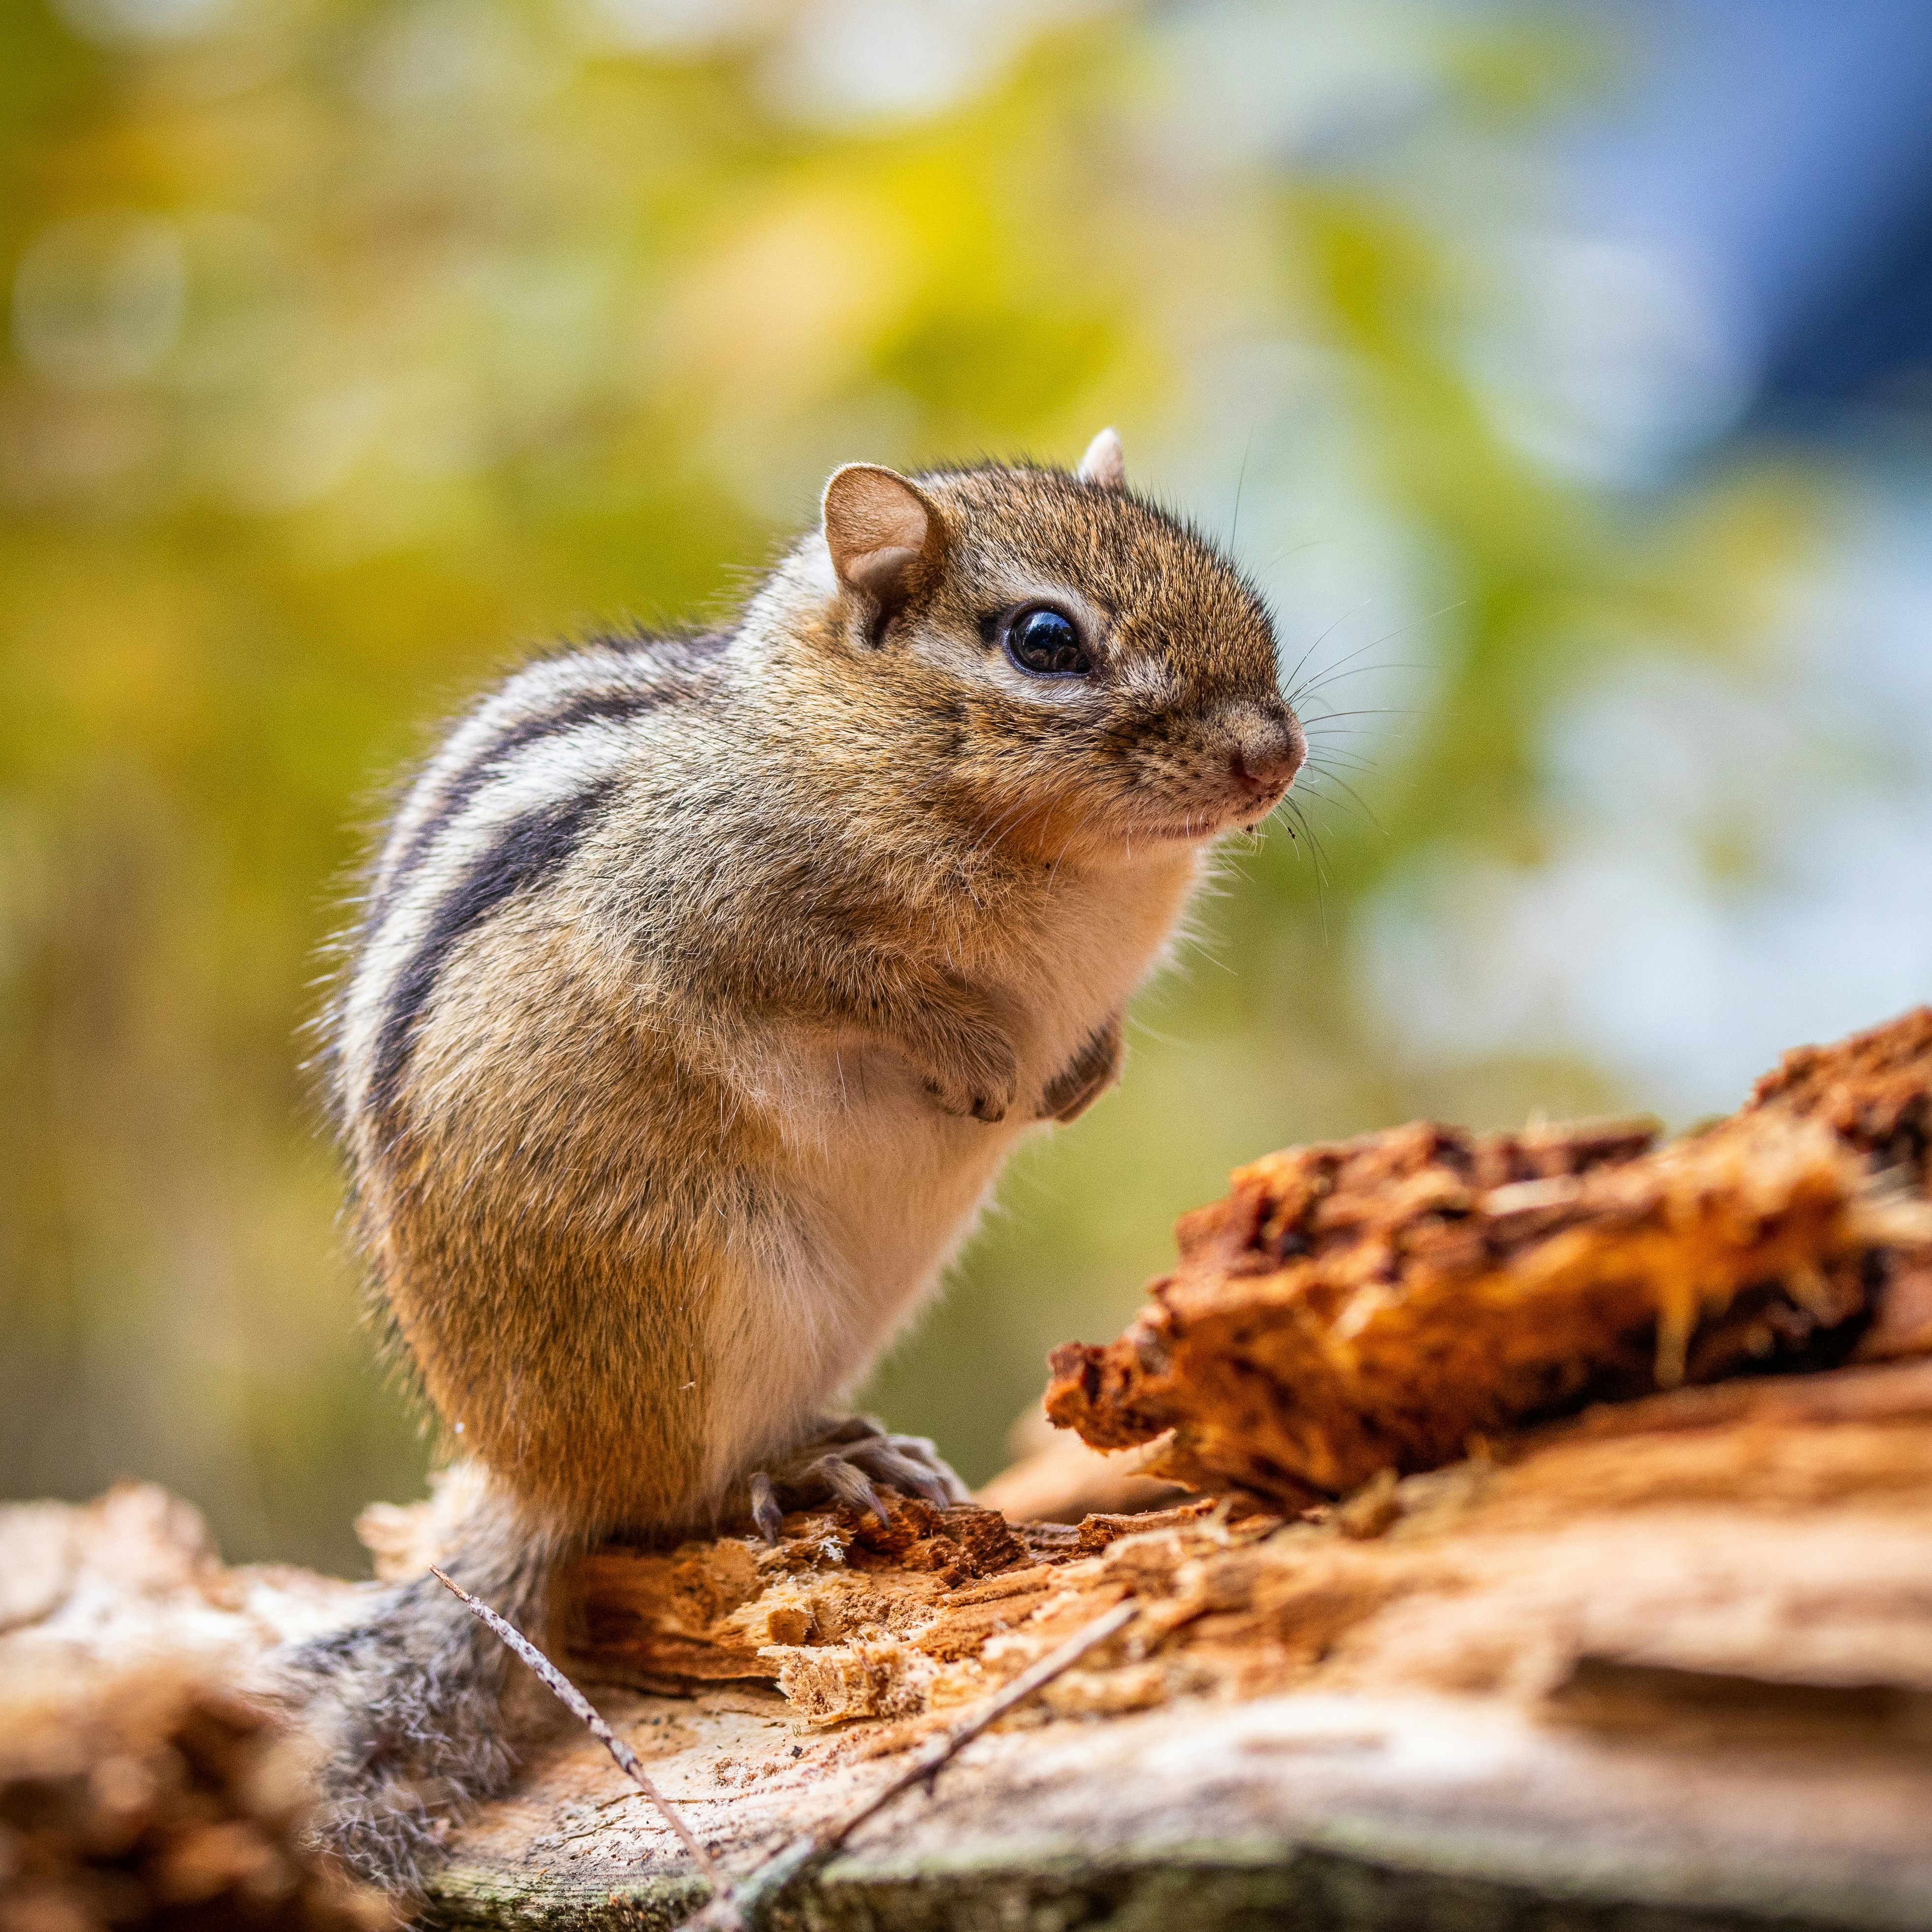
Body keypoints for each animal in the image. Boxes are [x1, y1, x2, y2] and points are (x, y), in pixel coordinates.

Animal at [278, 429, 1304, 1889]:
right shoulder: (709, 905)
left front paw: (1079, 1072)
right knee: (668, 1500)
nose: (1272, 756)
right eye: (1044, 640)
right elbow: (851, 985)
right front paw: (979, 1057)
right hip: (703, 1294)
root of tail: (528, 1474)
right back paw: (797, 1471)